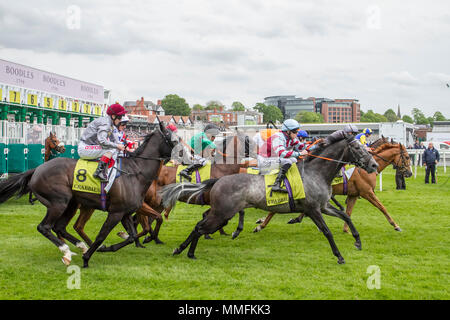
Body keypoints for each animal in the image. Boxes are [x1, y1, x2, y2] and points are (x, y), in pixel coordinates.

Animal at [0, 122, 178, 268]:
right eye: (175, 140)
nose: (185, 155)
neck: (135, 172)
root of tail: (37, 169)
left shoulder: (125, 212)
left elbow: (132, 236)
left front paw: (108, 247)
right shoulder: (116, 212)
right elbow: (102, 235)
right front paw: (88, 258)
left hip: (71, 204)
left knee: (59, 227)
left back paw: (79, 247)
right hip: (59, 202)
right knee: (45, 227)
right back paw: (67, 251)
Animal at [253, 137, 412, 232]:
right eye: (407, 157)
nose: (409, 173)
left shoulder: (354, 194)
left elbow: (348, 212)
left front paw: (346, 229)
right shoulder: (367, 192)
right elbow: (382, 207)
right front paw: (396, 225)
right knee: (273, 209)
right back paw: (261, 224)